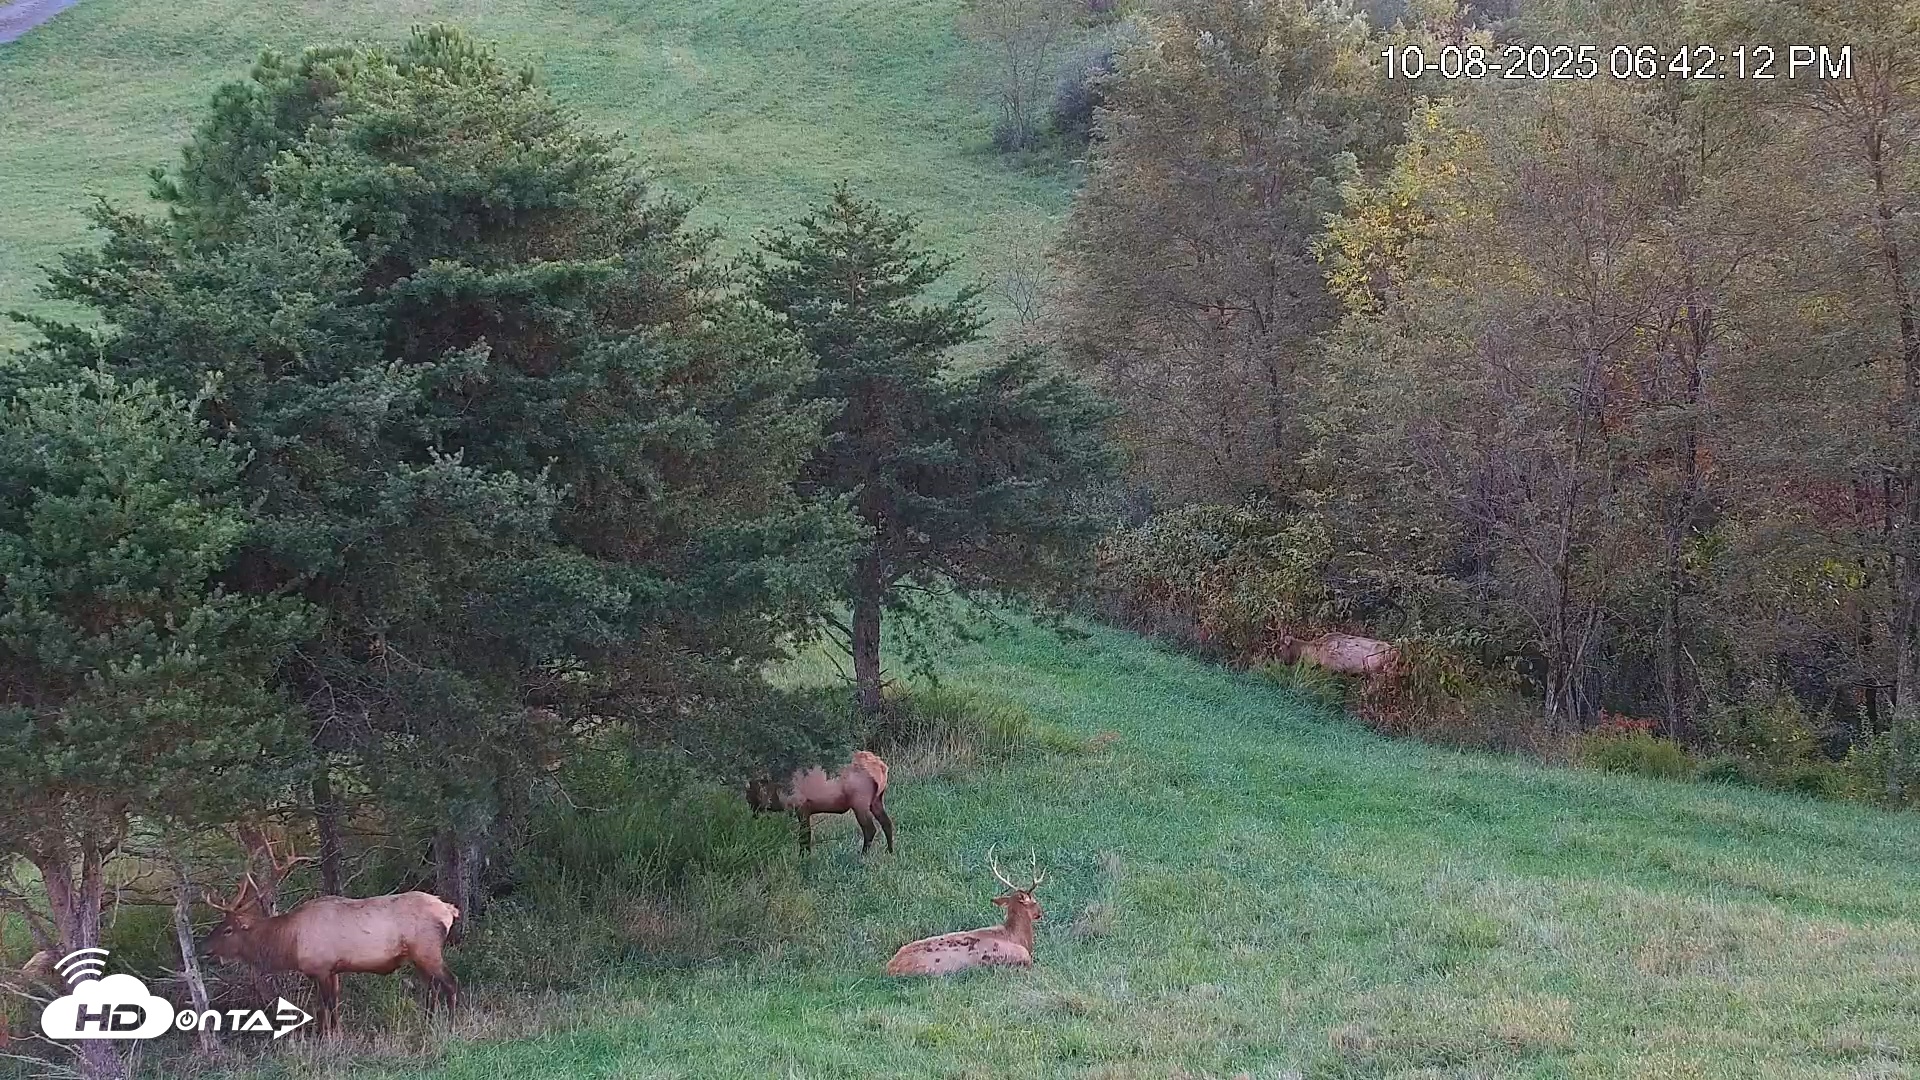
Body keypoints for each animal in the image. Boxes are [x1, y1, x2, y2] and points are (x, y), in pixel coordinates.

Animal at [199, 837, 459, 1036]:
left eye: (228, 929)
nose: (204, 948)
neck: (291, 944)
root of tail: (449, 909)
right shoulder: (332, 970)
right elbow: (326, 1006)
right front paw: (331, 1033)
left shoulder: (322, 967)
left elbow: (328, 1006)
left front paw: (331, 1037)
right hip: (419, 956)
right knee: (432, 988)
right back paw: (428, 1022)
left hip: (427, 949)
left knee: (450, 982)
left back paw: (452, 1024)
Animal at [745, 749, 895, 854]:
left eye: (752, 790)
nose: (750, 805)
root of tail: (882, 768)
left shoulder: (802, 807)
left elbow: (804, 838)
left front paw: (803, 857)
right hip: (876, 799)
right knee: (887, 823)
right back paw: (890, 851)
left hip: (860, 801)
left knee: (870, 829)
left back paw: (863, 855)